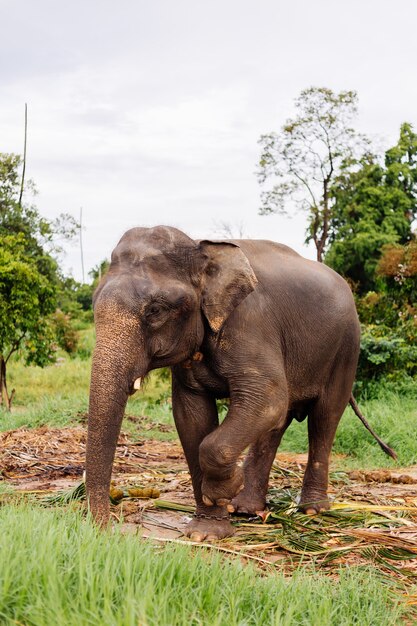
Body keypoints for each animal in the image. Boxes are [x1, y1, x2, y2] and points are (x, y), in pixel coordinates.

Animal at [85, 227, 394, 540]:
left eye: (155, 311)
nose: (107, 531)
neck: (201, 247)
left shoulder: (250, 323)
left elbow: (267, 396)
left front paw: (226, 488)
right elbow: (191, 415)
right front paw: (207, 531)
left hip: (347, 348)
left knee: (324, 417)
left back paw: (311, 510)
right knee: (277, 422)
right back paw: (245, 508)